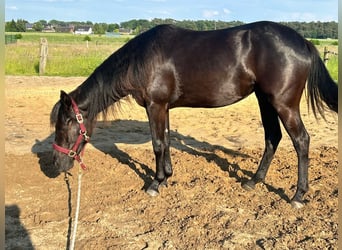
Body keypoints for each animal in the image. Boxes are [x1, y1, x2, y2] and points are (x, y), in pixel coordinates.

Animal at [50, 22, 336, 209]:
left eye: (66, 123)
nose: (56, 165)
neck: (142, 59)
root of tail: (304, 43)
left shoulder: (155, 106)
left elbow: (157, 144)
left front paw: (154, 184)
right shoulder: (163, 107)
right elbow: (165, 142)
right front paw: (166, 177)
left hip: (283, 104)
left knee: (301, 141)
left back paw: (298, 196)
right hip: (264, 100)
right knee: (272, 138)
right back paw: (253, 181)